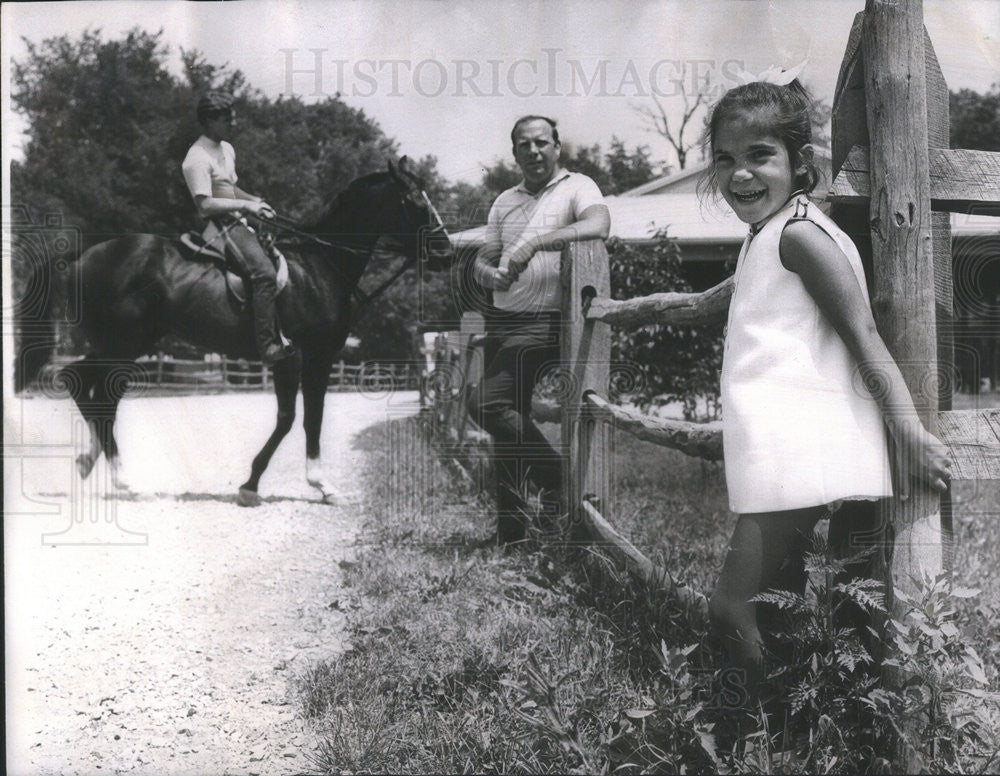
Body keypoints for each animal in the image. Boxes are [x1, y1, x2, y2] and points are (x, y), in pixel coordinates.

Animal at [17, 161, 454, 506]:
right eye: (416, 202)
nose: (446, 253)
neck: (318, 266)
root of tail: (84, 254)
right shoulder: (297, 356)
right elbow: (291, 418)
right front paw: (256, 484)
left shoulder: (318, 358)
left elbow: (308, 418)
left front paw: (319, 486)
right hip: (121, 345)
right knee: (89, 389)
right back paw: (123, 478)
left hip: (124, 346)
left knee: (93, 391)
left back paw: (95, 464)